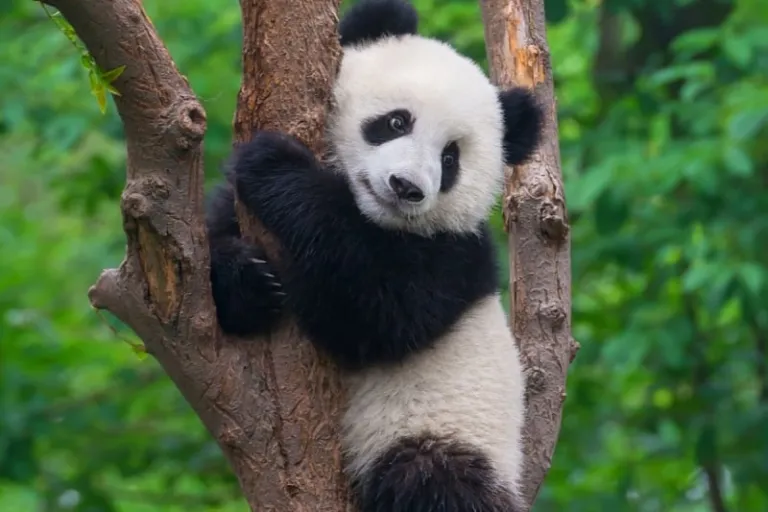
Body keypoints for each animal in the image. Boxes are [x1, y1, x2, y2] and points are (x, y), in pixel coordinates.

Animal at [206, 0, 544, 510]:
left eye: (450, 159)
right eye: (396, 122)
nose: (406, 187)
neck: (373, 218)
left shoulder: (454, 256)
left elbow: (376, 312)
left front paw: (274, 165)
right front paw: (248, 282)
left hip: (444, 433)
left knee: (431, 480)